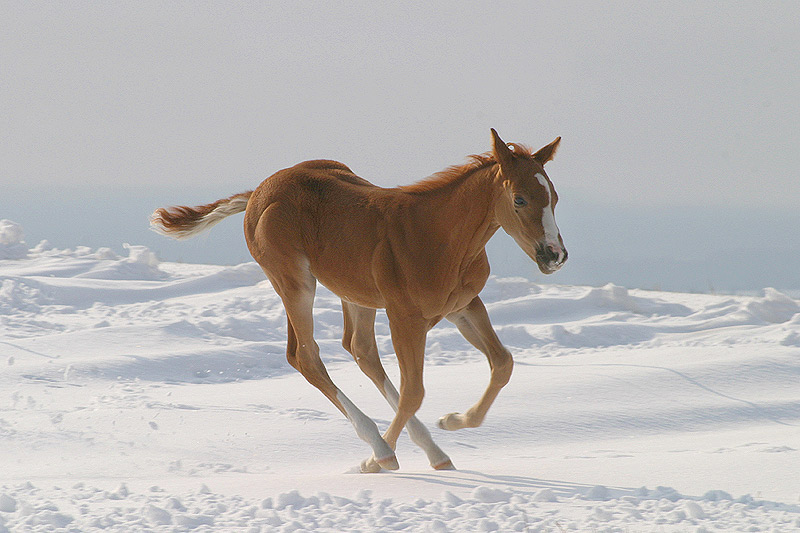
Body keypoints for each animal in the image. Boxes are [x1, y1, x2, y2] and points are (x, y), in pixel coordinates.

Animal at [148, 129, 564, 470]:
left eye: (555, 197)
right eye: (519, 199)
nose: (554, 255)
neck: (441, 238)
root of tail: (258, 192)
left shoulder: (462, 305)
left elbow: (503, 363)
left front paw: (452, 421)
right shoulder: (405, 317)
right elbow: (413, 391)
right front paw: (372, 462)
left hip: (354, 294)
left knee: (359, 349)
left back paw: (431, 451)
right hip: (294, 282)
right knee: (306, 355)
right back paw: (381, 449)